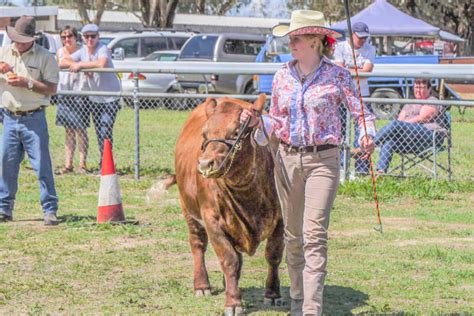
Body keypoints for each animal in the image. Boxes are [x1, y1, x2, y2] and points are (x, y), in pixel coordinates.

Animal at [175, 95, 284, 314]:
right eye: (204, 134)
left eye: (235, 133)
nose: (205, 164)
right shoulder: (212, 220)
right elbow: (228, 259)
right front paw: (233, 302)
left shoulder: (281, 219)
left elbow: (273, 255)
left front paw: (273, 294)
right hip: (188, 209)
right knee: (198, 244)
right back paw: (202, 285)